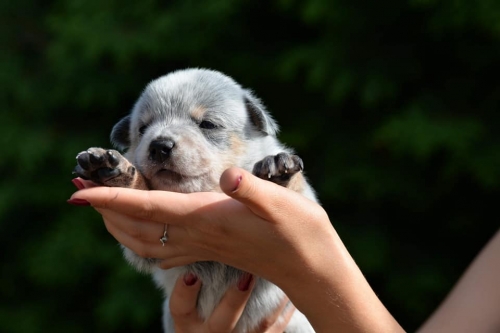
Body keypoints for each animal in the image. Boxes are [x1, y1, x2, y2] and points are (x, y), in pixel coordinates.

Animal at [74, 68, 316, 332]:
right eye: (142, 129)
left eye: (208, 124)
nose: (159, 146)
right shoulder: (143, 250)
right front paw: (114, 172)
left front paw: (279, 172)